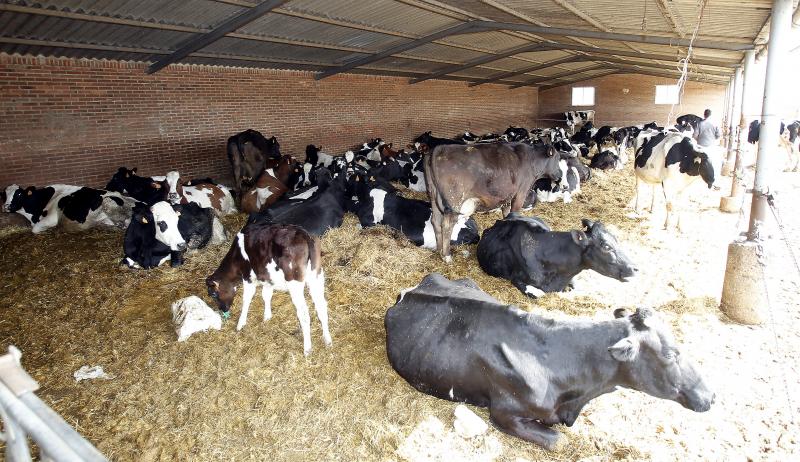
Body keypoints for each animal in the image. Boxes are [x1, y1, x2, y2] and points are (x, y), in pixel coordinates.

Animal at [206, 223, 332, 355]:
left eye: (213, 294)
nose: (222, 309)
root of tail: (305, 235)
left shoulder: (248, 276)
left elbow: (247, 299)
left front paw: (241, 323)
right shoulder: (267, 278)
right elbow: (266, 295)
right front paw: (267, 316)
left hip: (294, 282)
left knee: (304, 313)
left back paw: (307, 348)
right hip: (317, 276)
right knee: (322, 306)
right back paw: (327, 339)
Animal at [425, 142, 562, 261]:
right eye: (557, 159)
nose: (560, 176)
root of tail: (439, 148)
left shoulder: (507, 196)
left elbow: (507, 214)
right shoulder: (520, 193)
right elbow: (515, 212)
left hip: (433, 196)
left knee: (435, 221)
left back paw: (439, 249)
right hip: (455, 201)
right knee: (447, 225)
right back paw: (447, 256)